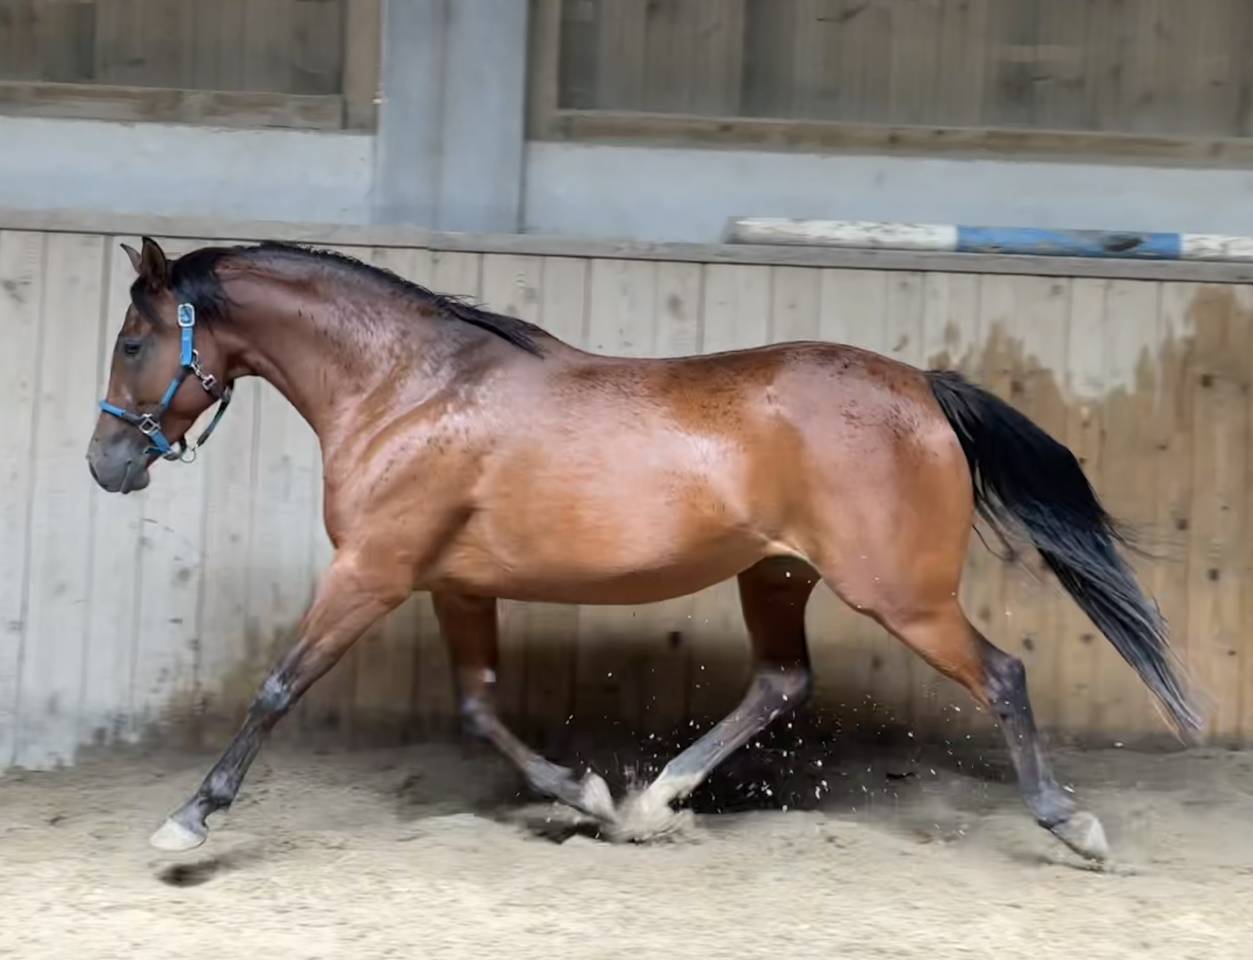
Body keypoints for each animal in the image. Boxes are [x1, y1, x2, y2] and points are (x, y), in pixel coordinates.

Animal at [86, 236, 1200, 863]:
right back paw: (652, 802)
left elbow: (278, 687)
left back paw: (1070, 825)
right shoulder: (450, 585)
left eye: (134, 344)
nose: (107, 464)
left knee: (1001, 676)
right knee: (779, 682)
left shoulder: (371, 572)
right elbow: (478, 705)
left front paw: (189, 823)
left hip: (900, 595)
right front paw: (584, 794)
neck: (409, 387)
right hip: (776, 575)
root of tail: (924, 389)